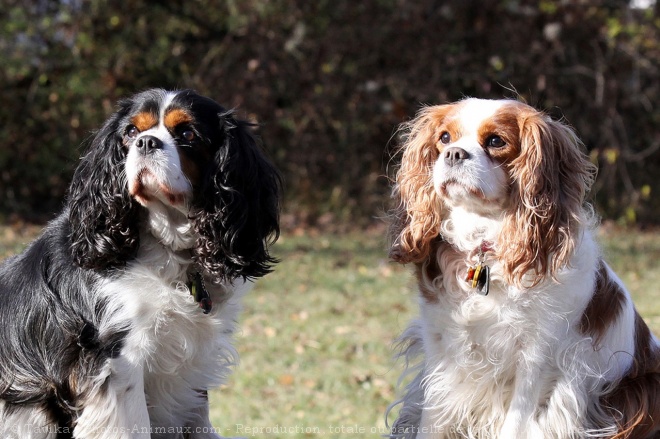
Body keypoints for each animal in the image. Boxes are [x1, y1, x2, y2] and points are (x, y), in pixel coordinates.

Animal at [0, 88, 282, 436]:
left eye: (188, 134)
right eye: (131, 131)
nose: (146, 142)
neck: (171, 249)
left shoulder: (192, 359)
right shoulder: (120, 359)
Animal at [386, 99, 660, 439]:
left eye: (495, 141)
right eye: (445, 138)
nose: (454, 153)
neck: (486, 248)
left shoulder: (538, 360)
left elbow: (516, 424)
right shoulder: (440, 348)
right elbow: (432, 420)